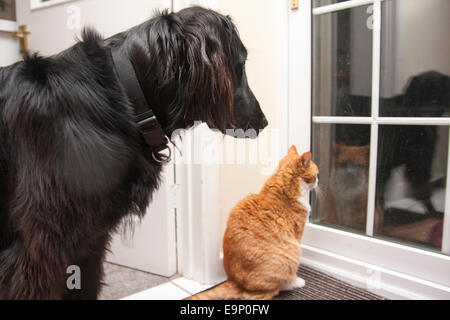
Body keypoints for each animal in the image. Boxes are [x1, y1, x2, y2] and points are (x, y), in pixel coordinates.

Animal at [187, 146, 320, 300]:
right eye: (317, 174)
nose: (318, 181)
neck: (285, 184)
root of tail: (235, 281)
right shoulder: (297, 236)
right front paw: (295, 280)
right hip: (291, 254)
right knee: (272, 290)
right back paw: (294, 283)